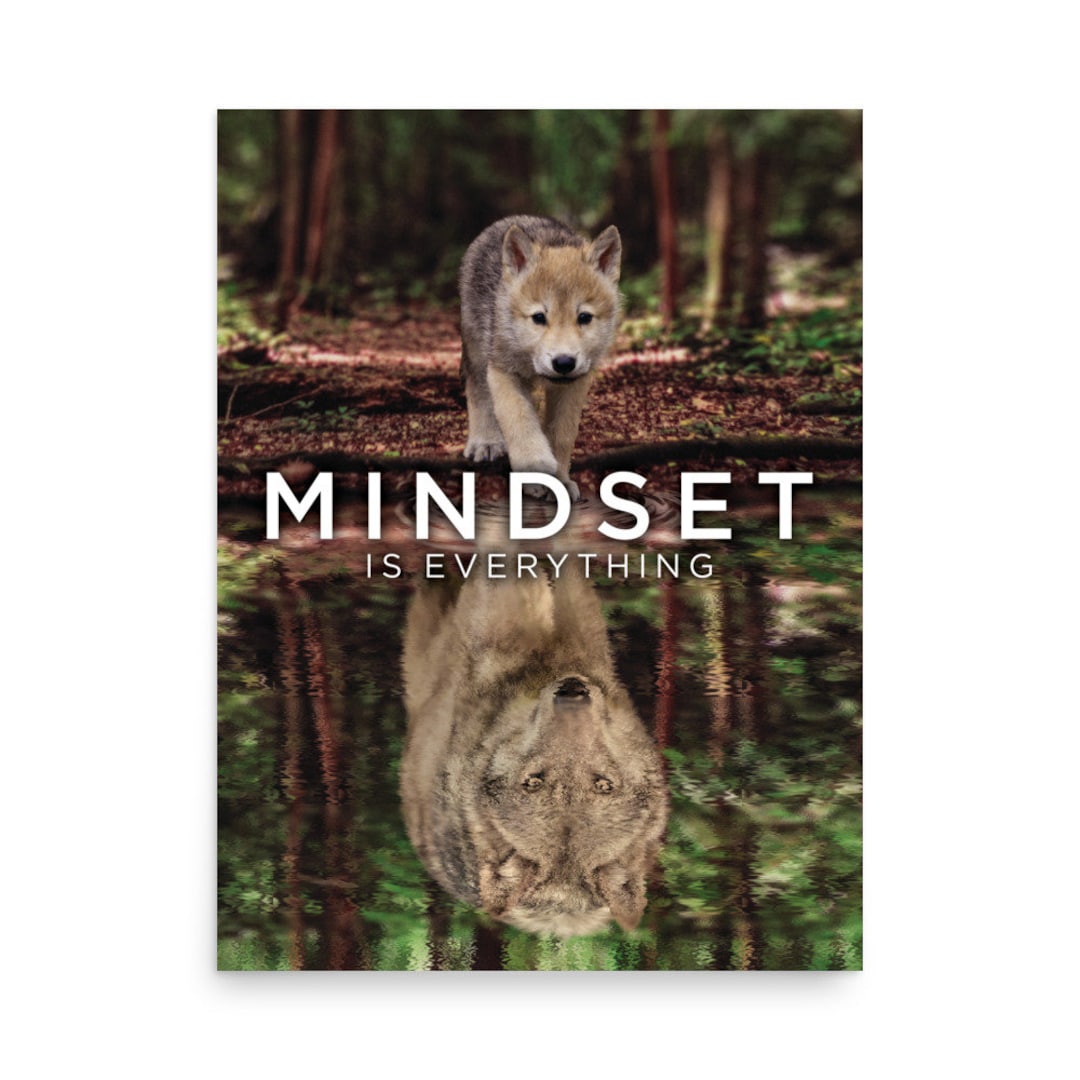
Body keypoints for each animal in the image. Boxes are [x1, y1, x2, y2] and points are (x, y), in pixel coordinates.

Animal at [459, 215, 623, 501]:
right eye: (539, 317)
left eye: (584, 317)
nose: (564, 362)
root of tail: (514, 219)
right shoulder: (501, 370)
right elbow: (519, 418)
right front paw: (535, 466)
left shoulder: (576, 382)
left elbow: (561, 434)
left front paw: (558, 481)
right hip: (478, 352)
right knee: (477, 392)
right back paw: (485, 441)